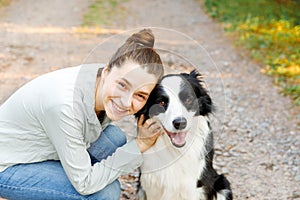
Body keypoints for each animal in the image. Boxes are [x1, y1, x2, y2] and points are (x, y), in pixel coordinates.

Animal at [135, 69, 232, 199]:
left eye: (188, 99)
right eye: (161, 102)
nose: (180, 123)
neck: (176, 151)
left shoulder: (193, 187)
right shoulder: (151, 185)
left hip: (222, 185)